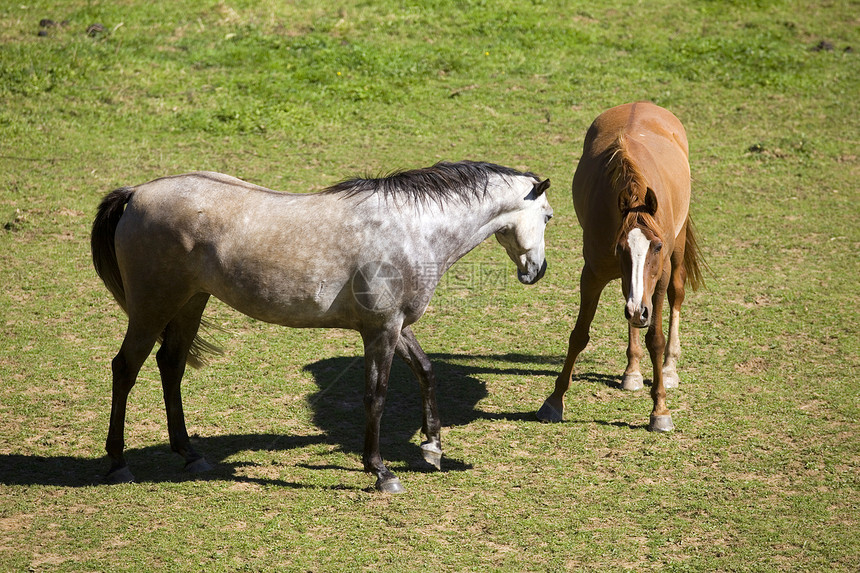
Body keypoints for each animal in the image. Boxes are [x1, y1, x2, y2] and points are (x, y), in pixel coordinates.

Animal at [94, 161, 552, 492]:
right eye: (547, 216)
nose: (538, 270)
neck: (410, 228)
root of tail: (136, 194)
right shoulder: (381, 330)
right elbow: (376, 396)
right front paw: (380, 471)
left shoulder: (395, 326)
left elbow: (426, 370)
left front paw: (432, 447)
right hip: (153, 307)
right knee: (125, 368)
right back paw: (117, 463)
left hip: (190, 303)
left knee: (170, 366)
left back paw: (190, 454)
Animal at [536, 101, 704, 428]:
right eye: (619, 247)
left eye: (657, 246)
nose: (639, 309)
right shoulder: (592, 274)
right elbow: (579, 334)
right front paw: (554, 401)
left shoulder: (659, 277)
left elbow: (656, 338)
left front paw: (660, 410)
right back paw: (632, 371)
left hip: (676, 256)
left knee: (675, 297)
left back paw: (669, 367)